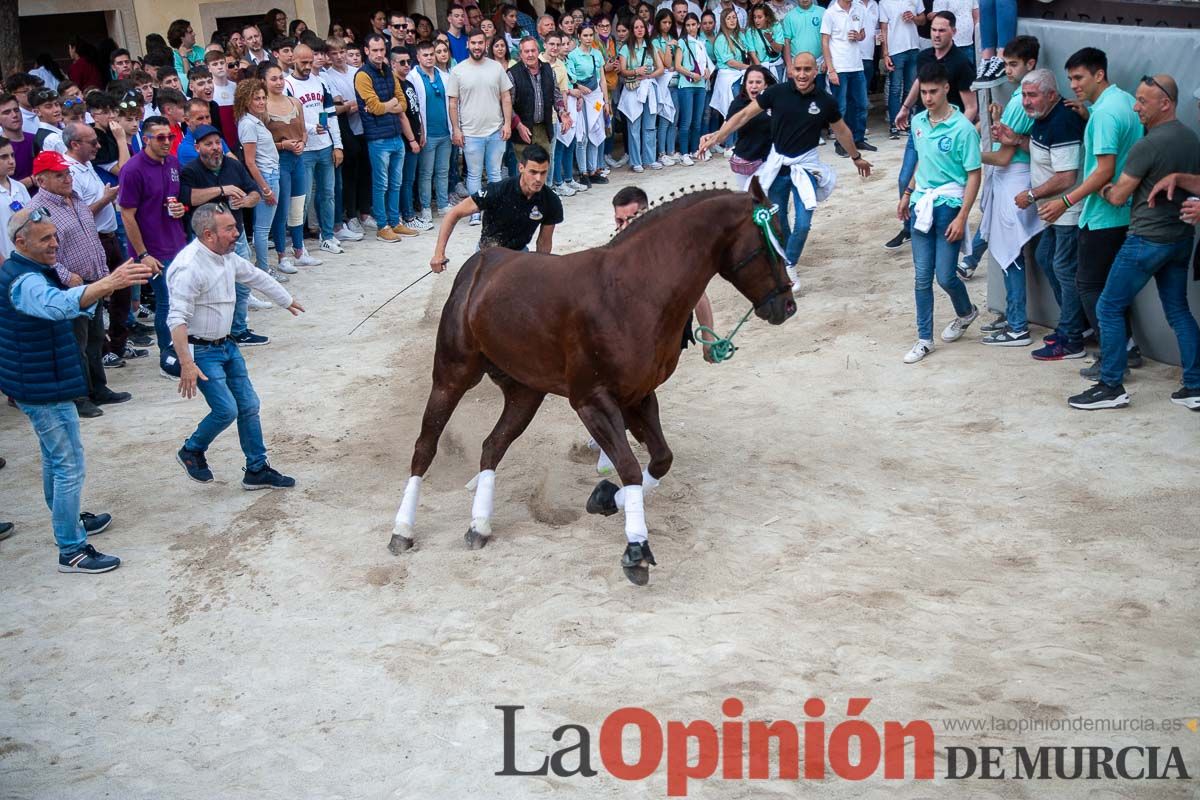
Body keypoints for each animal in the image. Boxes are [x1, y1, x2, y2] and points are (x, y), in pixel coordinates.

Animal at [386, 178, 796, 585]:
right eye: (771, 239)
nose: (787, 306)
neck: (633, 292)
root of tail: (481, 264)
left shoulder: (638, 396)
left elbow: (660, 459)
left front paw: (604, 498)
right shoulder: (592, 401)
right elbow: (629, 467)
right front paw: (636, 548)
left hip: (525, 392)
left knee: (492, 446)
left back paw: (479, 525)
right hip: (452, 376)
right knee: (425, 447)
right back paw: (402, 530)